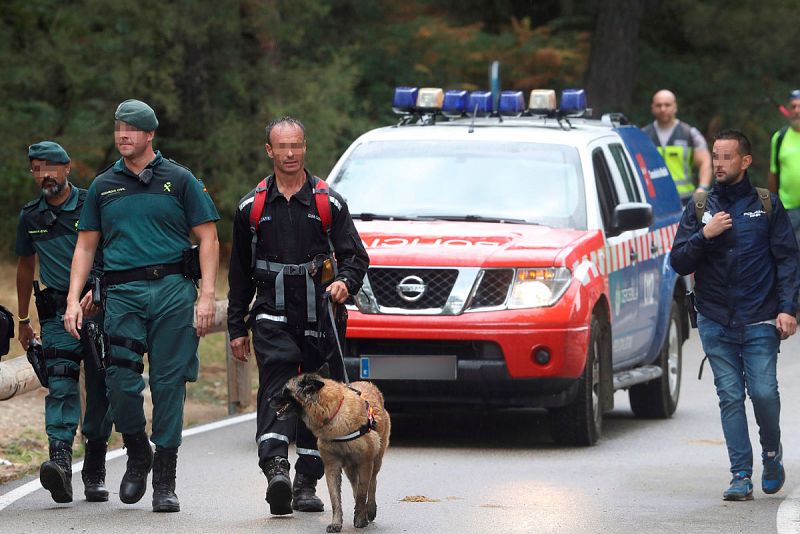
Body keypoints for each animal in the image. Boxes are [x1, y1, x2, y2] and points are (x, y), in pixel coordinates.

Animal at [272, 374, 390, 532]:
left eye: (285, 391)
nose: (268, 399)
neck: (333, 413)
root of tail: (368, 383)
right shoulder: (332, 466)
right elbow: (336, 499)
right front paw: (336, 523)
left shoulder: (365, 463)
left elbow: (362, 493)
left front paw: (360, 519)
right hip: (350, 469)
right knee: (356, 486)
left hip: (375, 461)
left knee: (372, 483)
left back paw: (369, 509)